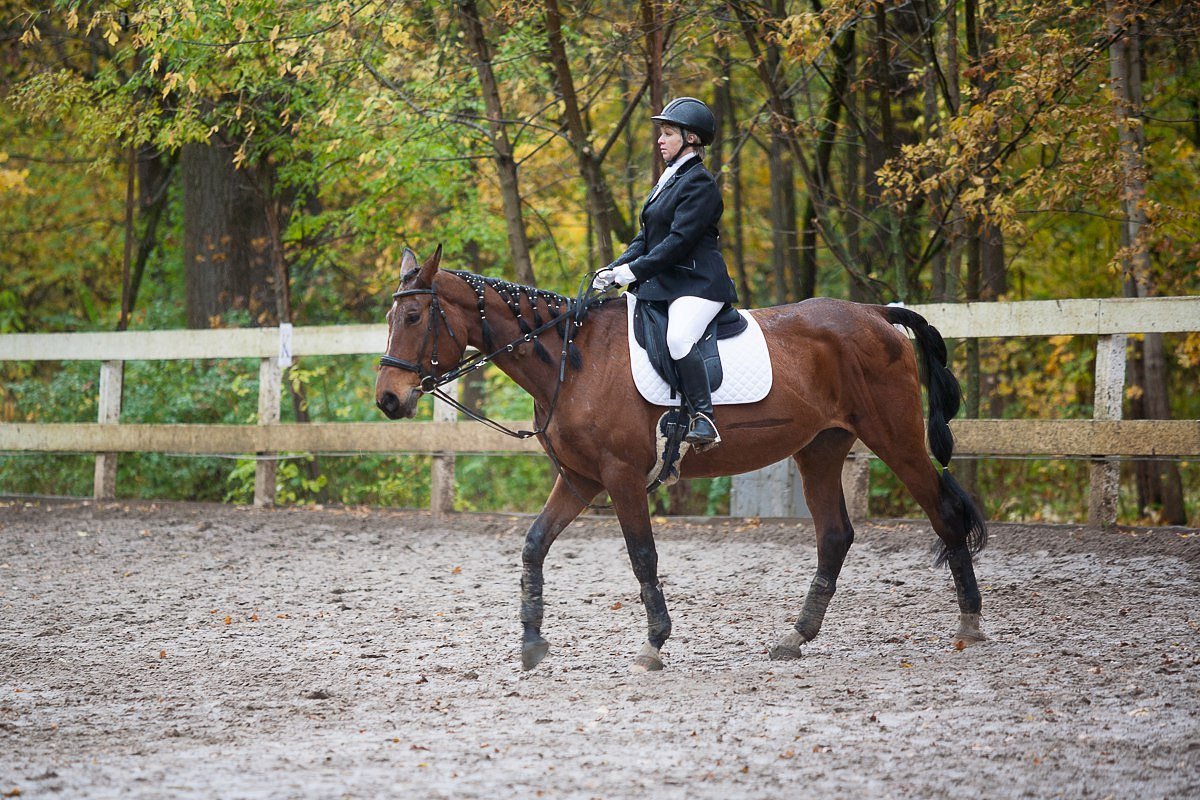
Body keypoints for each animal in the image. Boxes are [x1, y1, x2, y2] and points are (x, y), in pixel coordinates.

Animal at [374, 247, 984, 671]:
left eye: (413, 318)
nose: (388, 400)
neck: (574, 359)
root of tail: (874, 312)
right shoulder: (579, 479)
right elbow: (533, 545)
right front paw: (531, 641)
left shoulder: (620, 476)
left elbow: (642, 556)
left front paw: (654, 644)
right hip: (820, 448)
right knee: (835, 535)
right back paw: (795, 636)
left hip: (894, 438)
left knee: (943, 514)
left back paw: (971, 625)